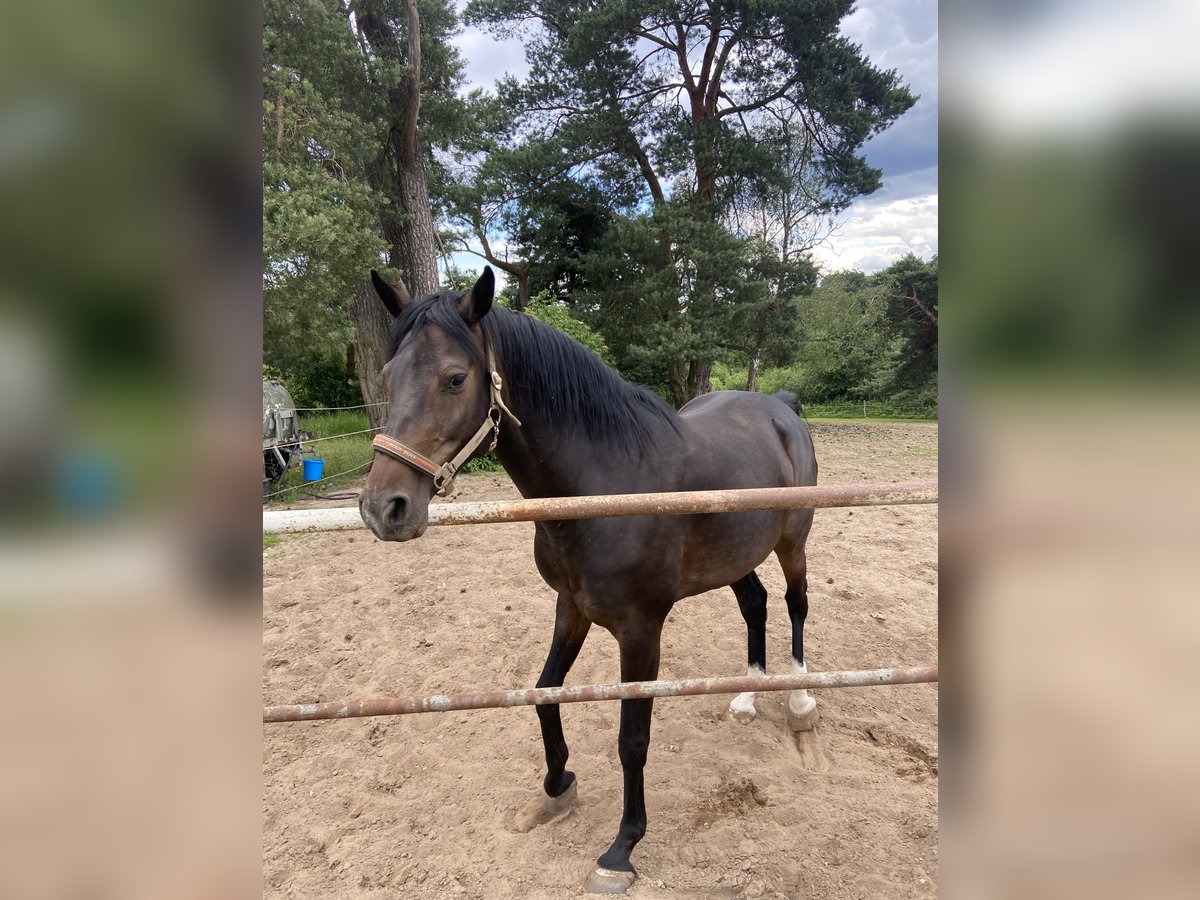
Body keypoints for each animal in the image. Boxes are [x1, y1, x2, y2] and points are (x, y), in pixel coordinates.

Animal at [360, 267, 820, 897]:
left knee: (797, 605)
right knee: (756, 604)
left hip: (791, 544)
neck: (603, 483)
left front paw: (622, 848)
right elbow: (543, 693)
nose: (385, 509)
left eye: (455, 378)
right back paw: (748, 696)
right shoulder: (570, 607)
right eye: (388, 376)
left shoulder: (641, 631)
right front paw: (556, 788)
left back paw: (798, 701)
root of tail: (779, 408)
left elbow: (632, 741)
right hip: (737, 556)